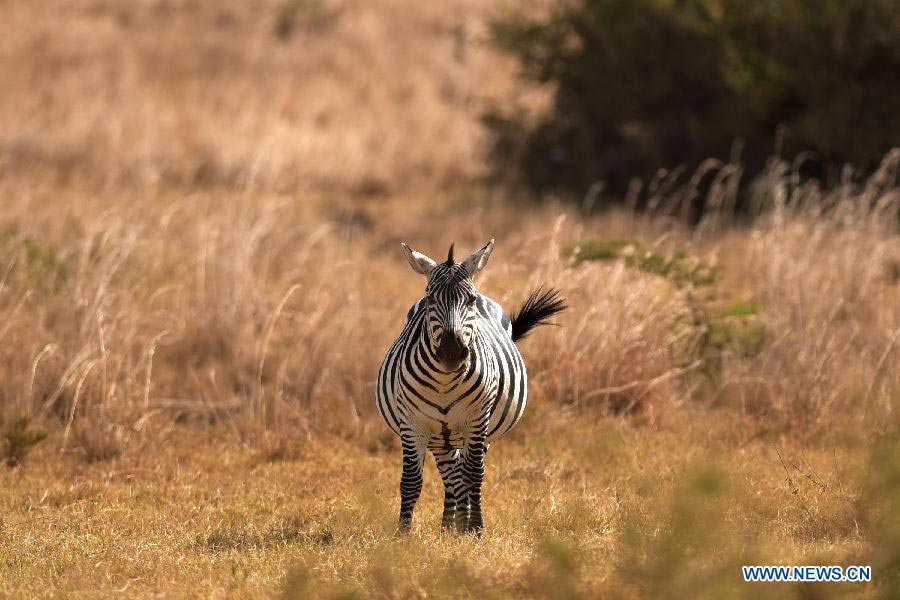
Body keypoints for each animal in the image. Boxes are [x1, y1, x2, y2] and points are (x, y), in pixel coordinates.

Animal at [378, 239, 564, 536]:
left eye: (470, 300)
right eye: (430, 299)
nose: (452, 352)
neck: (443, 382)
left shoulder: (477, 420)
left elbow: (474, 475)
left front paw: (476, 529)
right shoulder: (412, 423)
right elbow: (411, 480)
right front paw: (403, 535)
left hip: (473, 431)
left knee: (463, 471)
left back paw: (461, 524)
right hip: (440, 435)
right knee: (451, 472)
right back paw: (449, 524)